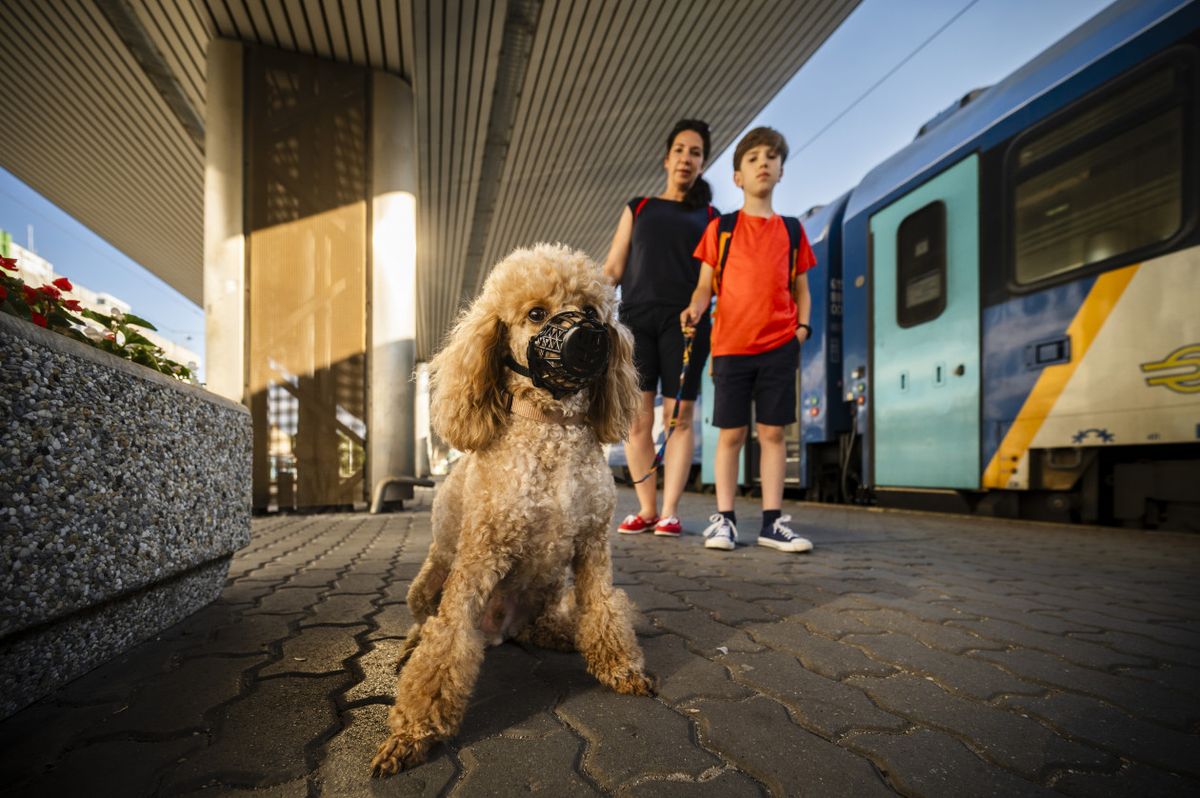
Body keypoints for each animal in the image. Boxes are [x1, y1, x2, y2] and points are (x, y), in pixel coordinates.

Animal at [374, 241, 652, 772]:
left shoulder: (593, 547)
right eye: (536, 314)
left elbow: (603, 609)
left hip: (549, 595)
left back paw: (565, 634)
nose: (589, 337)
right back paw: (412, 645)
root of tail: (501, 633)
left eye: (592, 311)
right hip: (429, 582)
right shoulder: (480, 556)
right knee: (427, 623)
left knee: (558, 623)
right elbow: (447, 638)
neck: (551, 429)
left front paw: (621, 667)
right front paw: (415, 732)